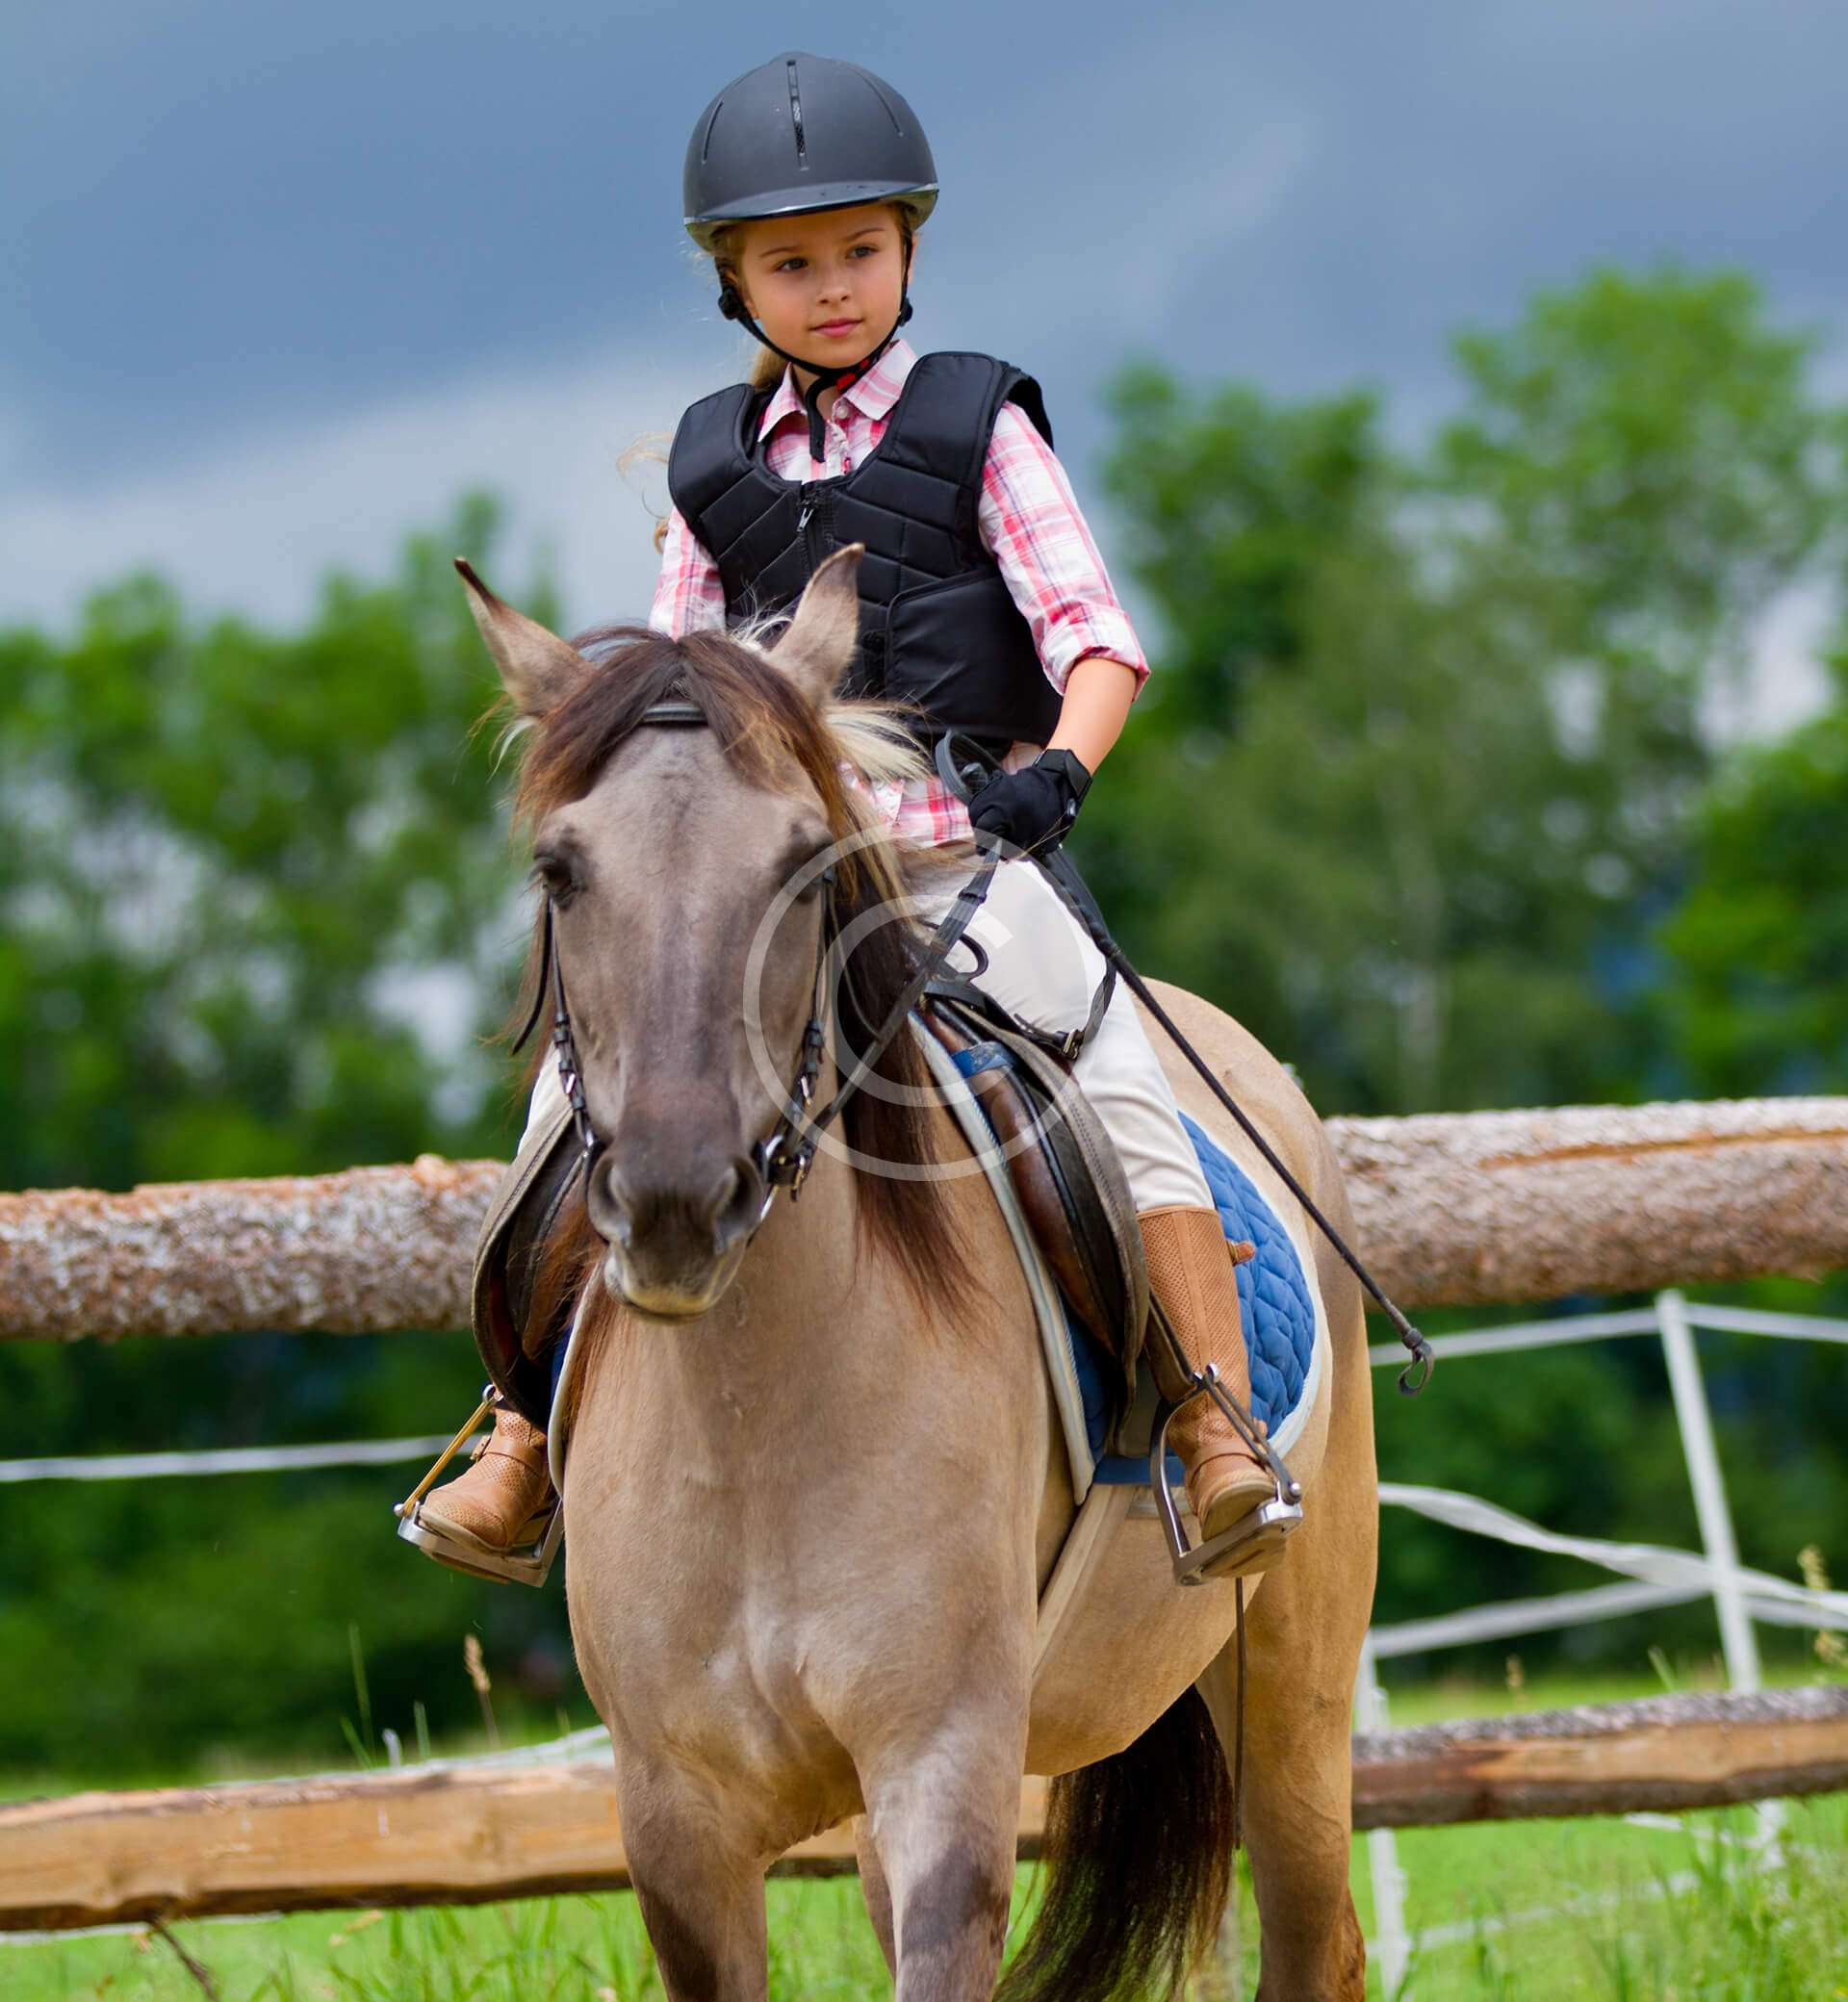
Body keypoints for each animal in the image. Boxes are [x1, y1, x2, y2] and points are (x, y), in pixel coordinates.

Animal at [459, 546, 1379, 2001]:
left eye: (802, 863)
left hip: (1290, 1682)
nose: (676, 1198)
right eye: (561, 871)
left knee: (1314, 1935)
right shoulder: (676, 1823)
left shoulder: (942, 1771)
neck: (755, 1419)